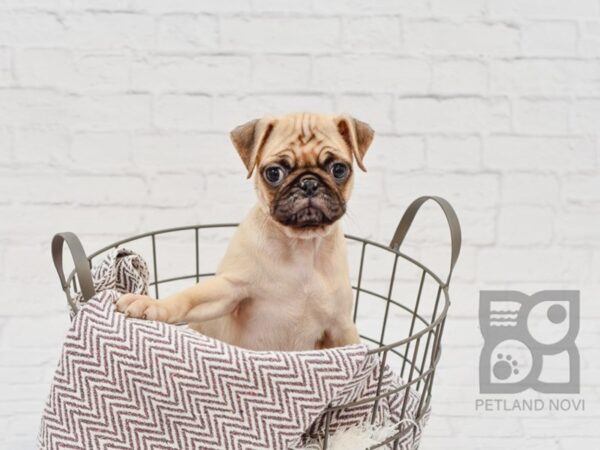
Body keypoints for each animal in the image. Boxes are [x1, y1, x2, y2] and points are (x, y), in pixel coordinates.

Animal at [115, 112, 372, 352]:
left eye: (339, 169)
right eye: (274, 173)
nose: (308, 183)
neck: (301, 246)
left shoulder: (342, 325)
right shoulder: (229, 289)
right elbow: (190, 296)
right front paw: (153, 305)